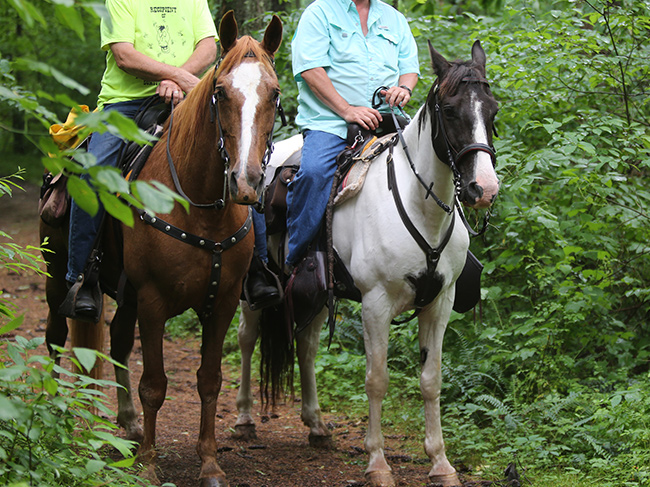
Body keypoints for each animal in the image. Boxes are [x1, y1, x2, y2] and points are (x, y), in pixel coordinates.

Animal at [41, 11, 280, 487]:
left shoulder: (223, 302)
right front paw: (150, 464)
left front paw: (209, 463)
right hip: (58, 278)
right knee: (57, 339)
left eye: (275, 92)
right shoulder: (153, 300)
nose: (245, 183)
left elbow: (209, 380)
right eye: (220, 91)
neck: (199, 208)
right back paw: (61, 416)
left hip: (127, 293)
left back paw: (129, 424)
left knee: (116, 343)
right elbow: (154, 383)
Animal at [235, 41, 498, 487]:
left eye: (492, 111)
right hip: (257, 290)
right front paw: (377, 463)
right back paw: (245, 418)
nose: (484, 188)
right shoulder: (376, 304)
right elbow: (376, 381)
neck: (418, 204)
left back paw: (316, 425)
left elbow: (431, 380)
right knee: (246, 338)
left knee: (306, 347)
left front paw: (441, 463)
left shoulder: (439, 303)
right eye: (449, 110)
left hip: (316, 294)